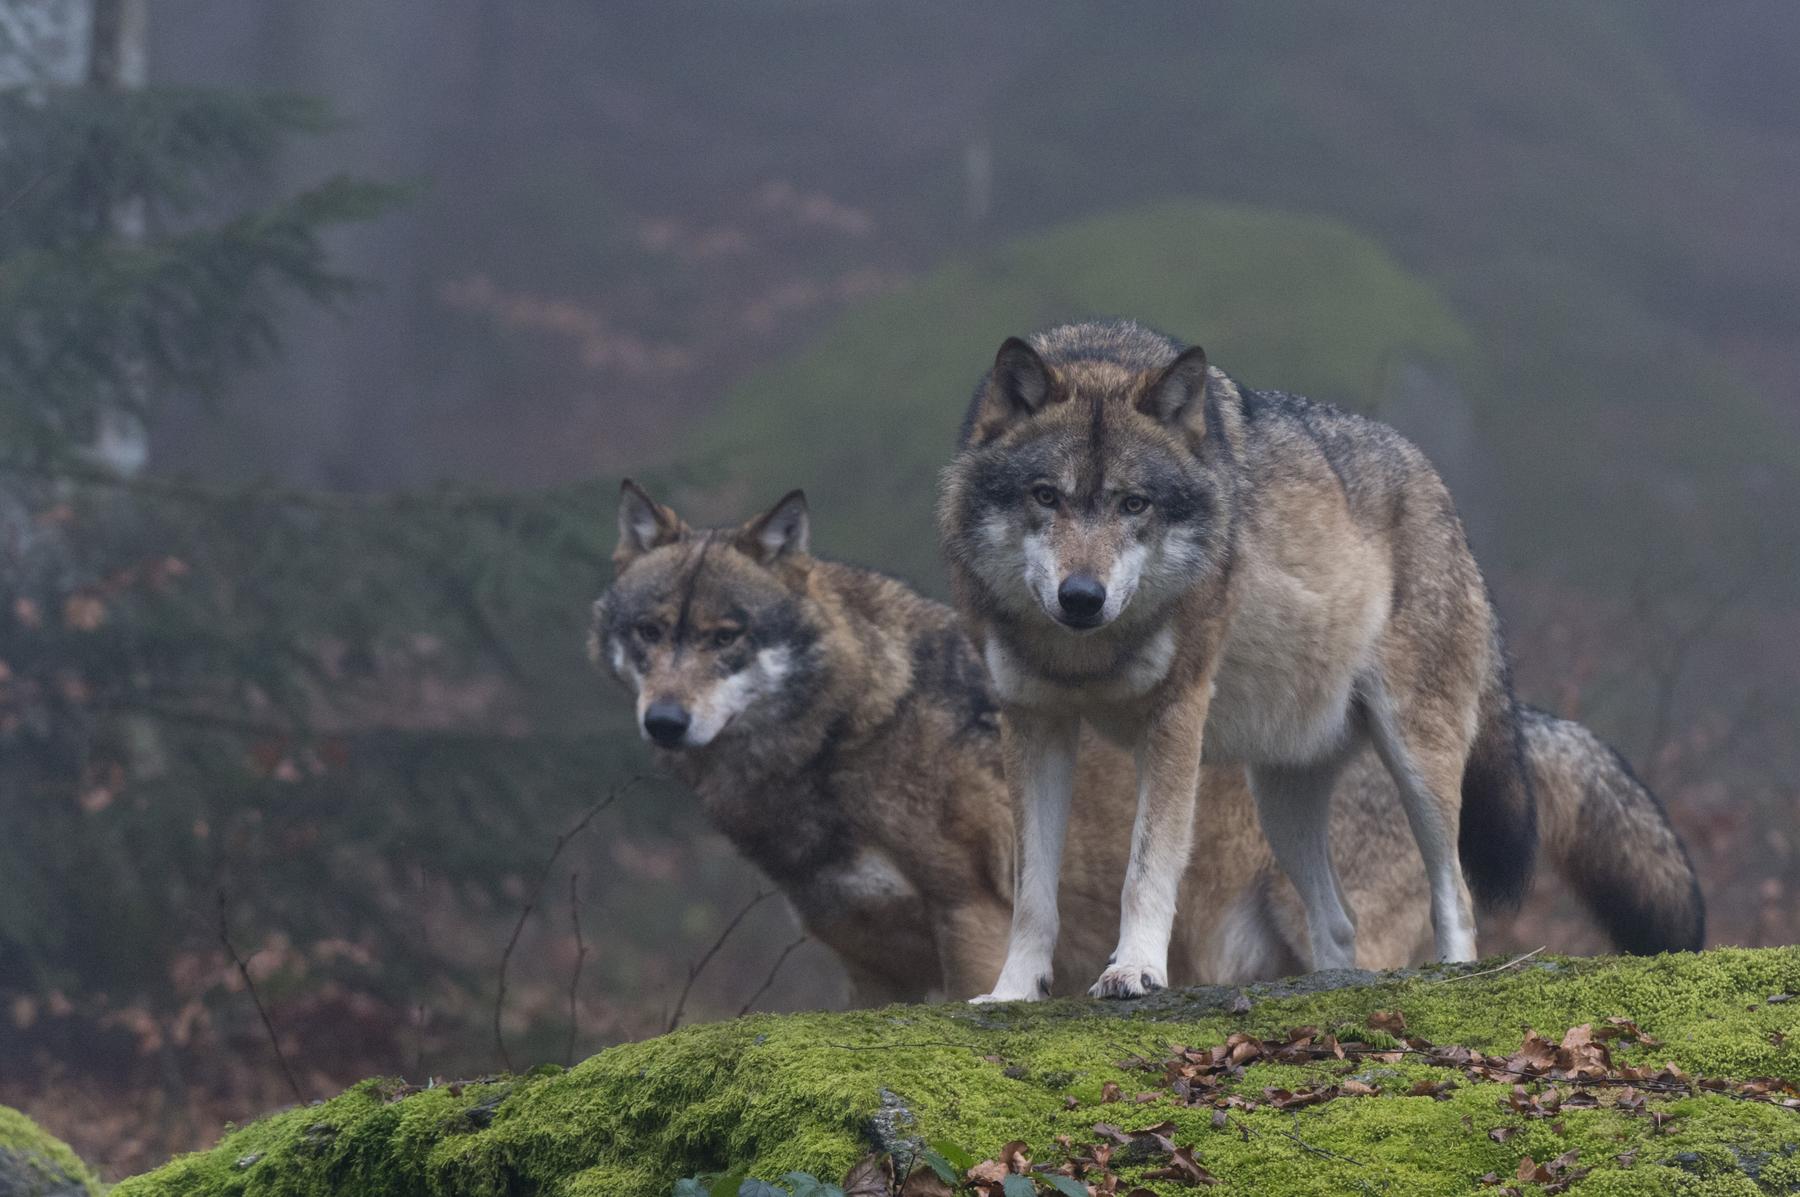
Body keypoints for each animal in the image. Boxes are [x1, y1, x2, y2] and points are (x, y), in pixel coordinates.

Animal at [590, 482, 1699, 1000]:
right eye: (649, 634)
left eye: (724, 638)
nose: (664, 722)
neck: (853, 729)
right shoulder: (867, 974)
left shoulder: (974, 921)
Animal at [936, 316, 1540, 1000]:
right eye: (1045, 496)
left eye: (1134, 504)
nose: (1083, 597)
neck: (1085, 654)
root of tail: (1443, 496)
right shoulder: (1033, 722)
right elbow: (1032, 895)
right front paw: (1012, 991)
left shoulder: (1175, 716)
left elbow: (1146, 869)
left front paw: (1135, 969)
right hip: (1279, 801)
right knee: (1339, 925)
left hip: (1416, 761)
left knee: (1456, 894)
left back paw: (1455, 975)